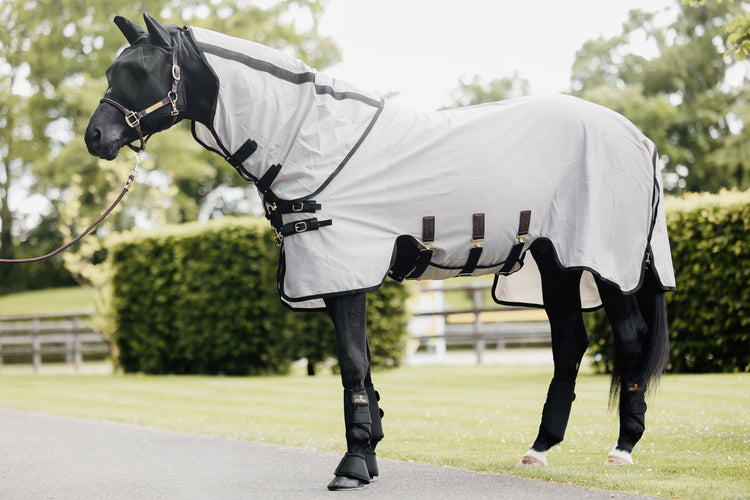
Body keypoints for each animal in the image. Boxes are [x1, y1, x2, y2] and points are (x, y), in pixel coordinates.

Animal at [85, 13, 680, 490]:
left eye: (139, 73)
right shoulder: (338, 275)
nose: (95, 138)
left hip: (607, 263)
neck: (308, 138)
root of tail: (638, 138)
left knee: (629, 339)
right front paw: (368, 454)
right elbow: (364, 366)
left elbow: (352, 364)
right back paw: (539, 448)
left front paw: (351, 466)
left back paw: (623, 448)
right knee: (569, 343)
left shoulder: (342, 269)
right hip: (556, 261)